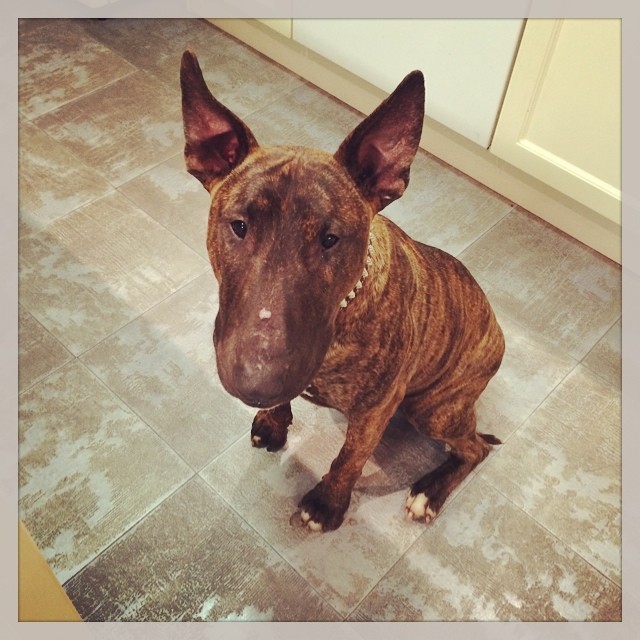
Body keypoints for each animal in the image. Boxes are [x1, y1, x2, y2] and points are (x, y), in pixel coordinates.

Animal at [180, 50, 505, 532]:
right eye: (239, 226)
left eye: (331, 239)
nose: (256, 383)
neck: (346, 309)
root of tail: (497, 328)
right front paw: (274, 423)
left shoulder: (373, 414)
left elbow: (349, 458)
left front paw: (327, 504)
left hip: (433, 408)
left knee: (475, 449)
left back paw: (429, 492)